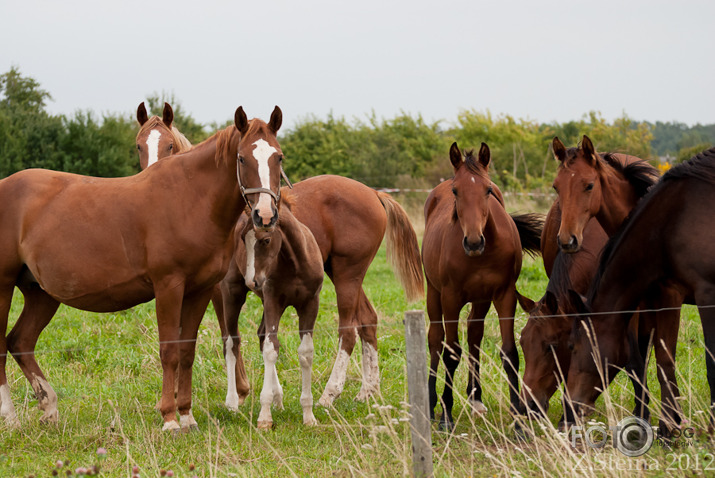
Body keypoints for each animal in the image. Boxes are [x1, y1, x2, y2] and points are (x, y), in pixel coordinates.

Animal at [0, 105, 286, 434]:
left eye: (278, 157)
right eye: (242, 158)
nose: (265, 215)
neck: (190, 198)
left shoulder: (199, 290)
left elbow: (187, 350)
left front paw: (187, 415)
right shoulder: (168, 287)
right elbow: (169, 351)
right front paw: (169, 418)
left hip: (41, 294)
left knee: (20, 342)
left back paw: (49, 406)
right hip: (3, 287)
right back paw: (10, 416)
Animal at [231, 202, 324, 430]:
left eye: (266, 240)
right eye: (242, 239)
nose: (252, 281)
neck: (295, 264)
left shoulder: (310, 304)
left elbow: (305, 353)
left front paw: (308, 416)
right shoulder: (273, 300)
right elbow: (271, 349)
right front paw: (264, 416)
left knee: (261, 335)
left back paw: (278, 400)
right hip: (232, 292)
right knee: (232, 341)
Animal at [420, 142, 544, 430]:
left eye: (488, 189)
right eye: (456, 191)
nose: (474, 242)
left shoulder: (505, 295)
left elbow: (509, 352)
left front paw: (518, 419)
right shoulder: (451, 298)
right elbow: (452, 352)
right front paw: (446, 414)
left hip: (481, 300)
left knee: (474, 334)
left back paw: (475, 398)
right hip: (434, 293)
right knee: (435, 340)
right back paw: (431, 403)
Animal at [564, 148, 715, 436]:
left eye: (574, 347)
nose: (570, 408)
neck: (673, 219)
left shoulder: (706, 294)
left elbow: (710, 363)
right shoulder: (664, 293)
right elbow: (663, 361)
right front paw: (669, 428)